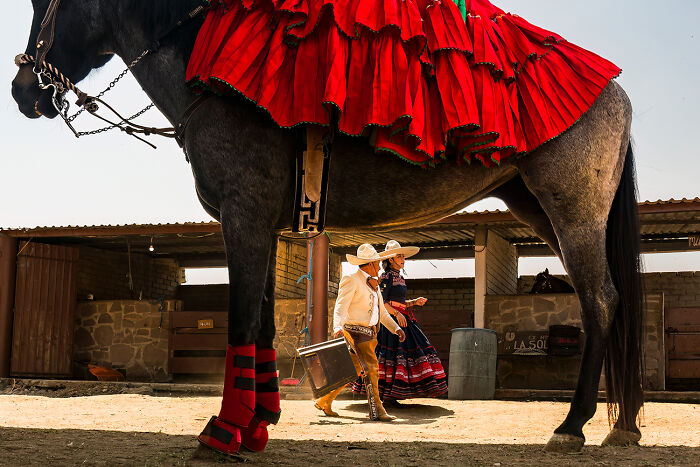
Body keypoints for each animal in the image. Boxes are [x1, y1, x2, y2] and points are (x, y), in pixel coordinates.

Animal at [10, 0, 644, 454]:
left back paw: (574, 425)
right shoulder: (265, 226)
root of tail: (614, 92)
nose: (23, 90)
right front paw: (260, 420)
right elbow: (264, 322)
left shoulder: (242, 216)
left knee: (600, 301)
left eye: (44, 1)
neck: (203, 59)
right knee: (612, 300)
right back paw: (624, 424)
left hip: (571, 210)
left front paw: (225, 431)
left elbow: (242, 320)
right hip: (537, 204)